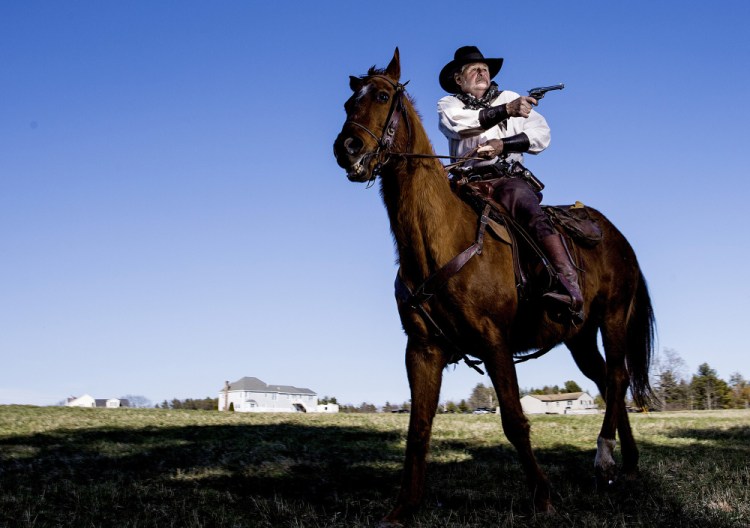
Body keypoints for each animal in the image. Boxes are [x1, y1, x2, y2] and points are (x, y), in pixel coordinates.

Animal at [334, 48, 656, 524]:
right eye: (346, 103)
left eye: (381, 95)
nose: (347, 148)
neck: (439, 241)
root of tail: (617, 236)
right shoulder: (422, 350)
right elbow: (419, 427)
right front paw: (403, 507)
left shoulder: (494, 341)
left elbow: (514, 421)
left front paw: (542, 498)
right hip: (578, 336)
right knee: (604, 380)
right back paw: (624, 464)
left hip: (613, 318)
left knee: (617, 377)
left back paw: (604, 456)